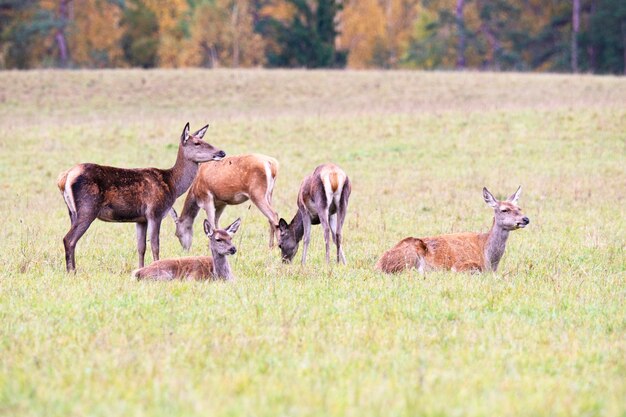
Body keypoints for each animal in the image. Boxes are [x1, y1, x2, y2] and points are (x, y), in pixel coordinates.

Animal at [54, 122, 223, 272]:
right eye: (197, 143)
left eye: (204, 140)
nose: (221, 152)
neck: (172, 184)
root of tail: (65, 177)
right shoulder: (155, 212)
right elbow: (155, 245)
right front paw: (156, 267)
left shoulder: (140, 219)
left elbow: (141, 247)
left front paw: (140, 269)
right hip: (88, 208)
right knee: (69, 239)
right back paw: (72, 272)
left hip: (72, 212)